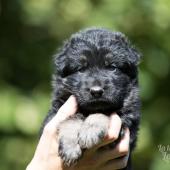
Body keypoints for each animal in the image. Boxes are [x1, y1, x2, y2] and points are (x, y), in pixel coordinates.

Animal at [42, 27, 141, 169]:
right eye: (81, 69)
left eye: (112, 67)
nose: (96, 91)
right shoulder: (56, 110)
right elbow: (70, 119)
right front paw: (70, 147)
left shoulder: (127, 119)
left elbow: (102, 112)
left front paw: (90, 130)